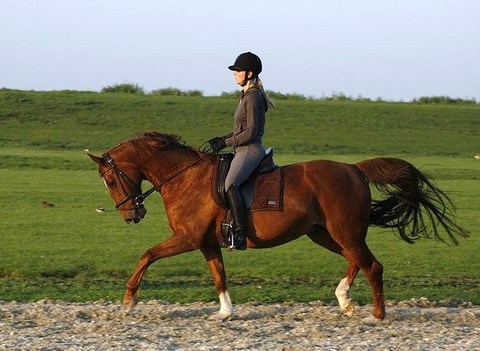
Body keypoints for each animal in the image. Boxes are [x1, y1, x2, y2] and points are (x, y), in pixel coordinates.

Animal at [87, 131, 468, 322]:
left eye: (110, 180)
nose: (131, 215)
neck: (184, 177)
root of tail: (354, 169)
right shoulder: (206, 242)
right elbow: (219, 275)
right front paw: (225, 312)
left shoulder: (187, 238)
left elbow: (146, 255)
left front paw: (128, 301)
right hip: (324, 234)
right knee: (356, 260)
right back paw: (344, 301)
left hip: (342, 231)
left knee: (371, 264)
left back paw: (377, 314)